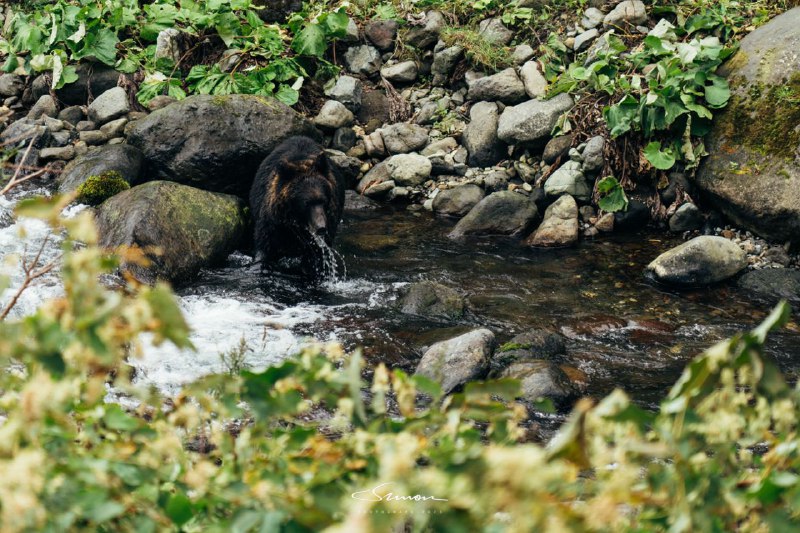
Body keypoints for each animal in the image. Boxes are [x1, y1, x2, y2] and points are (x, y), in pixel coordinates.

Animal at [249, 136, 345, 277]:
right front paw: (260, 265)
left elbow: (314, 258)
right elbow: (265, 246)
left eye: (323, 200)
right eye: (306, 203)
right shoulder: (272, 223)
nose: (321, 227)